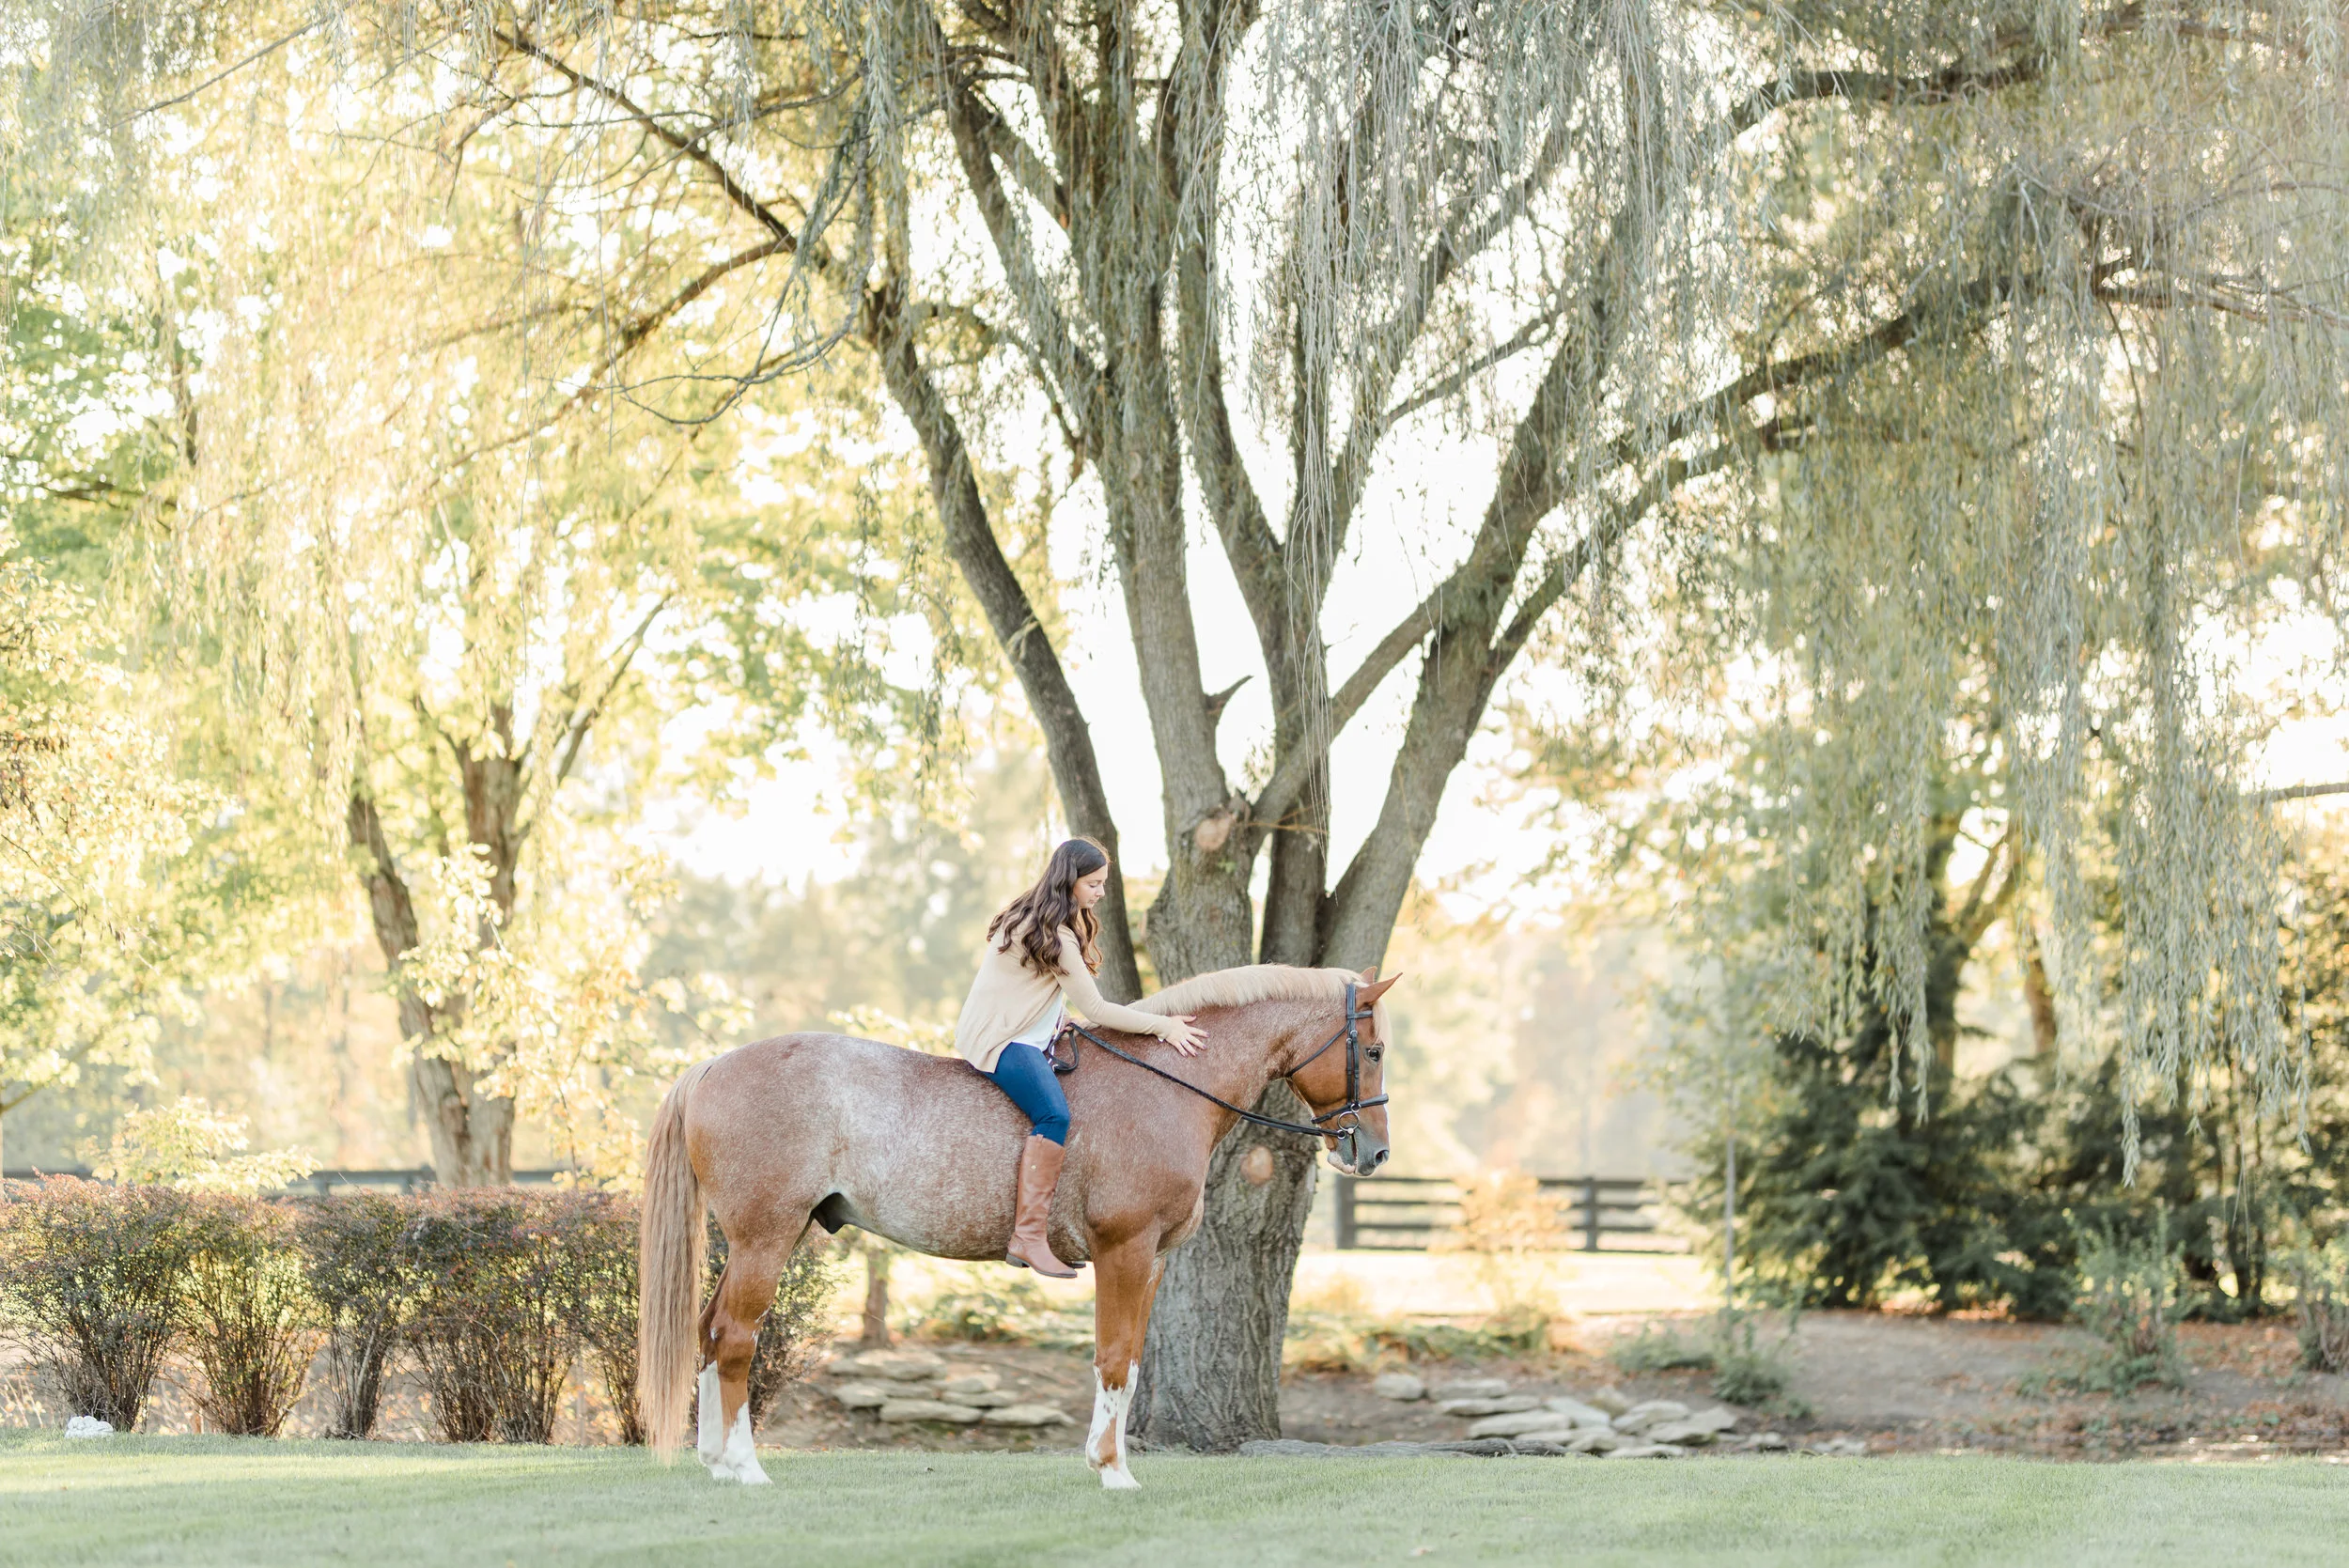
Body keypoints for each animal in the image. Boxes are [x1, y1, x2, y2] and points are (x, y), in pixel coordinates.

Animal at [636, 963, 1399, 1488]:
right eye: (1375, 1050)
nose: (1374, 1153)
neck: (1165, 1084)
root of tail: (714, 1066)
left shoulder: (1152, 1260)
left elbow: (1130, 1359)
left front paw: (1110, 1461)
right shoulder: (1124, 1251)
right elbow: (1113, 1357)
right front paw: (1112, 1471)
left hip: (762, 1241)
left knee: (710, 1333)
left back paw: (716, 1461)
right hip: (765, 1239)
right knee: (736, 1338)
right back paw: (745, 1466)